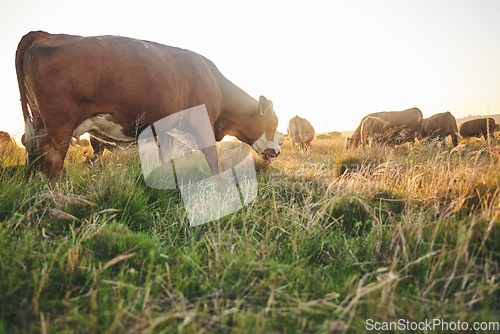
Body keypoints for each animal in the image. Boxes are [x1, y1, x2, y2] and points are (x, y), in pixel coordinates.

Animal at [16, 30, 282, 177]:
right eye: (273, 122)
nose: (278, 152)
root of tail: (45, 34)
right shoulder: (202, 122)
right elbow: (212, 158)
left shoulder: (165, 131)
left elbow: (166, 161)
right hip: (60, 126)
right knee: (52, 161)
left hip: (38, 121)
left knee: (32, 149)